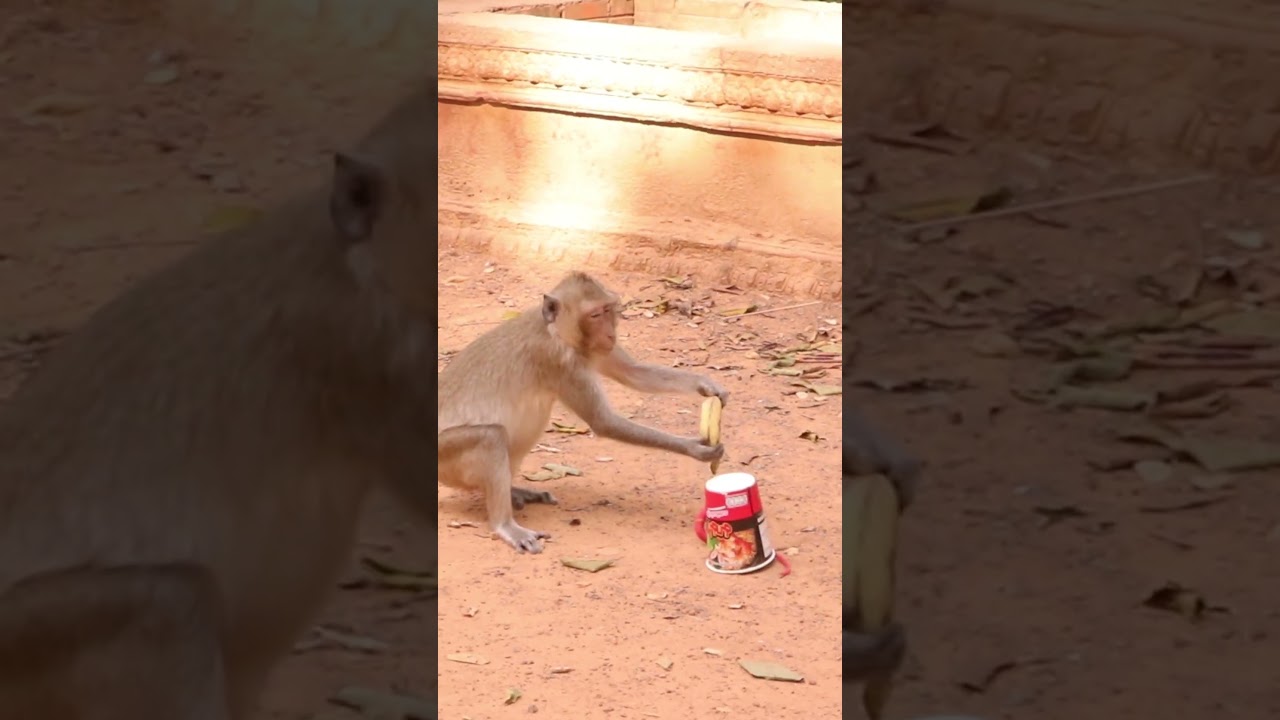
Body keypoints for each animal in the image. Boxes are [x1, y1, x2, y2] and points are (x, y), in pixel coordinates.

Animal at [438, 271, 730, 554]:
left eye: (608, 310)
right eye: (594, 315)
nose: (610, 335)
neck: (554, 330)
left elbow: (635, 373)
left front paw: (706, 384)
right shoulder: (561, 361)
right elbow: (603, 422)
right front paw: (696, 448)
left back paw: (512, 491)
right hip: (446, 453)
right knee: (491, 436)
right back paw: (504, 524)